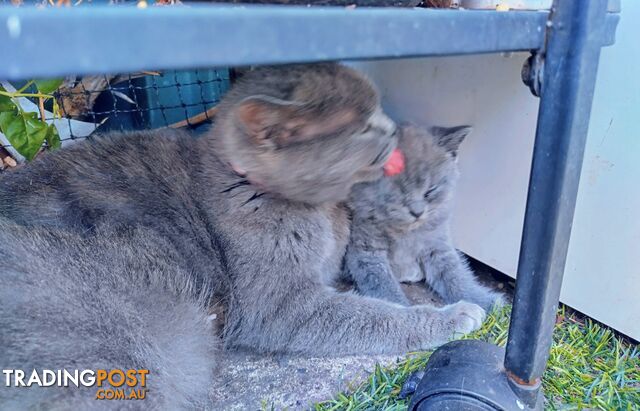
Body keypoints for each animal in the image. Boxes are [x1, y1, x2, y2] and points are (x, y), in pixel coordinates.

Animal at [344, 124, 504, 310]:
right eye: (400, 192)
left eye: (430, 191)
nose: (417, 212)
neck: (405, 232)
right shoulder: (366, 252)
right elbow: (383, 285)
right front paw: (404, 308)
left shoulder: (438, 245)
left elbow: (456, 276)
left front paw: (487, 302)